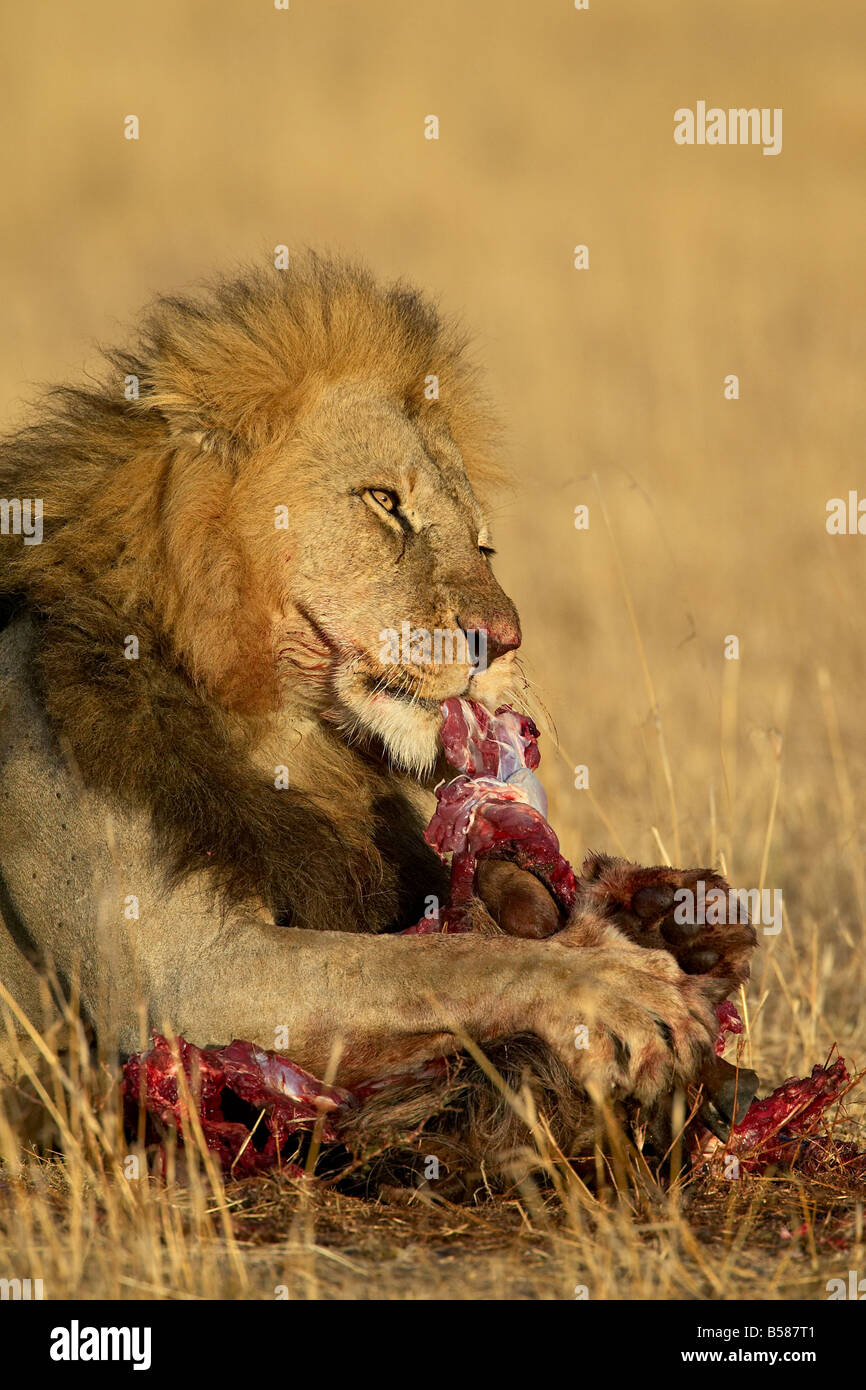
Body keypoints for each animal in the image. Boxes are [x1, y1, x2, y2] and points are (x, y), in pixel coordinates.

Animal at [0, 252, 756, 1184]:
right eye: (384, 502)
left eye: (483, 541)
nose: (505, 639)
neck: (282, 734)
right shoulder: (185, 984)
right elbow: (429, 962)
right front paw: (621, 991)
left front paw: (660, 919)